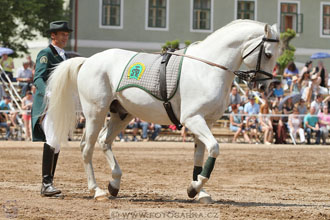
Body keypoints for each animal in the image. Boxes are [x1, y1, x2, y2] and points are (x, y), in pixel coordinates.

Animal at [45, 19, 278, 202]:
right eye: (267, 54)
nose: (265, 87)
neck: (208, 69)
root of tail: (88, 61)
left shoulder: (206, 121)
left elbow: (199, 155)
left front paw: (198, 191)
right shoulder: (193, 119)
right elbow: (214, 148)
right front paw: (196, 187)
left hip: (121, 114)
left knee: (104, 141)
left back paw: (114, 183)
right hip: (96, 113)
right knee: (87, 147)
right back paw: (97, 190)